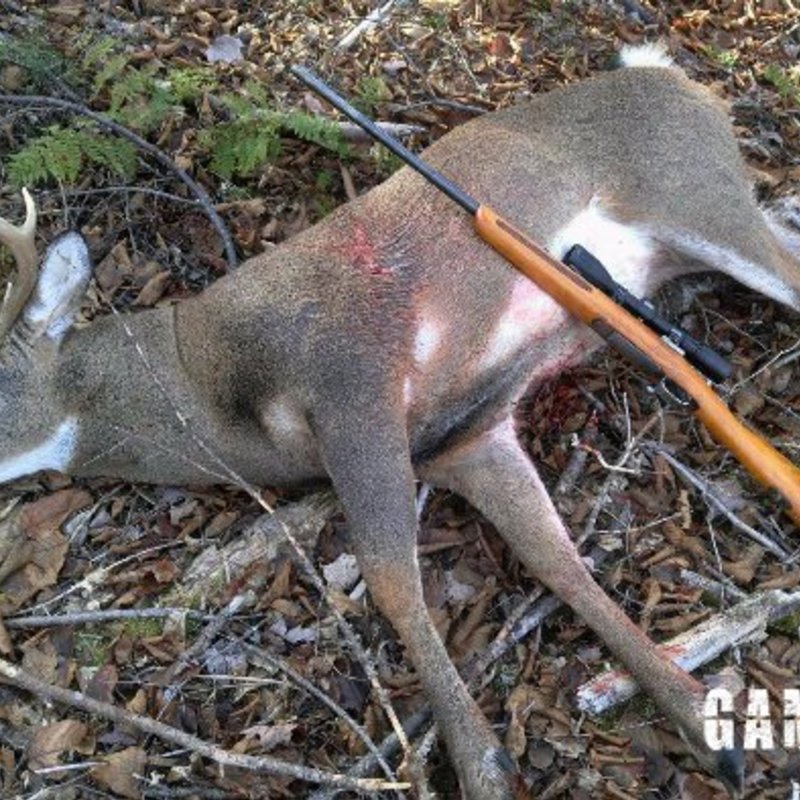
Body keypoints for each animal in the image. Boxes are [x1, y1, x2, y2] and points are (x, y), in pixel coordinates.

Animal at [1, 44, 799, 798]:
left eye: (0, 380)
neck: (212, 390)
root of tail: (671, 75)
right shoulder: (464, 438)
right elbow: (556, 560)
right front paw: (704, 724)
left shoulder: (354, 380)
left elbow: (391, 580)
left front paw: (481, 765)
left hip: (698, 196)